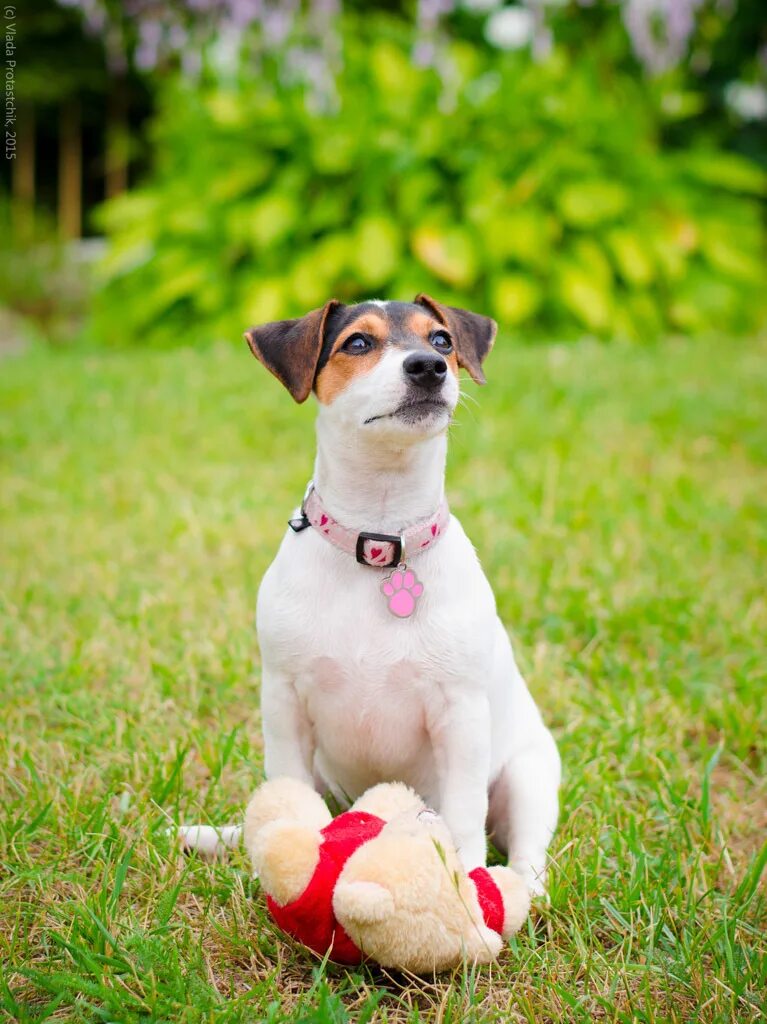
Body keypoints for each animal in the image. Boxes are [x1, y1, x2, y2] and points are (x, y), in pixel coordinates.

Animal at [182, 292, 561, 892]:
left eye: (441, 340)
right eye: (357, 342)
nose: (428, 367)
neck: (379, 540)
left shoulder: (461, 716)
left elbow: (463, 814)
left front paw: (467, 883)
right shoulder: (284, 702)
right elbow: (286, 793)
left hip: (530, 776)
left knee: (526, 846)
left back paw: (521, 887)